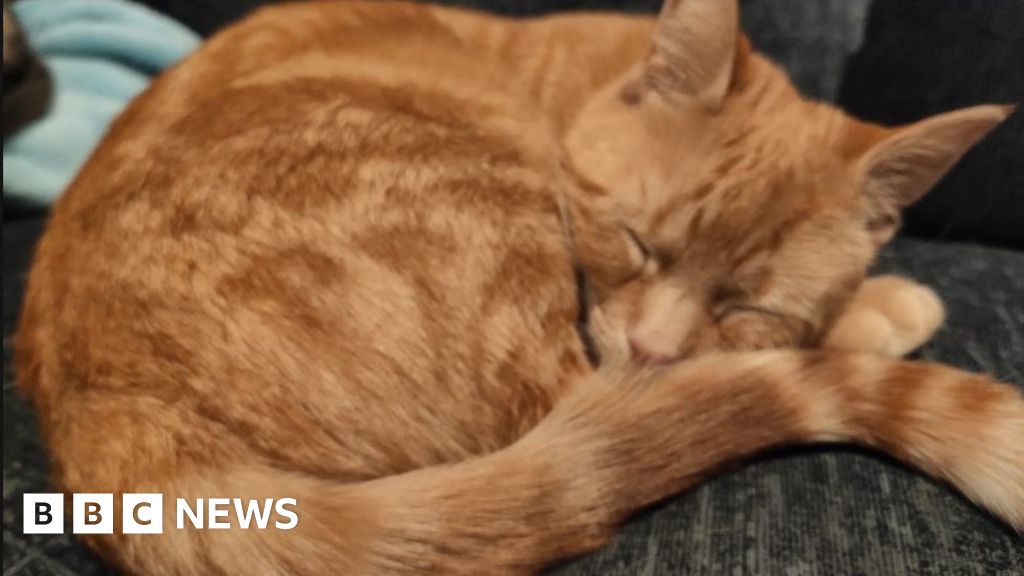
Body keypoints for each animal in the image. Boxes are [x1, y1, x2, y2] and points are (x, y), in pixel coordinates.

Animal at [12, 1, 1019, 573]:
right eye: (636, 243)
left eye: (747, 305)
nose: (652, 348)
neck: (584, 77)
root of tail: (102, 408)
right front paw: (886, 302)